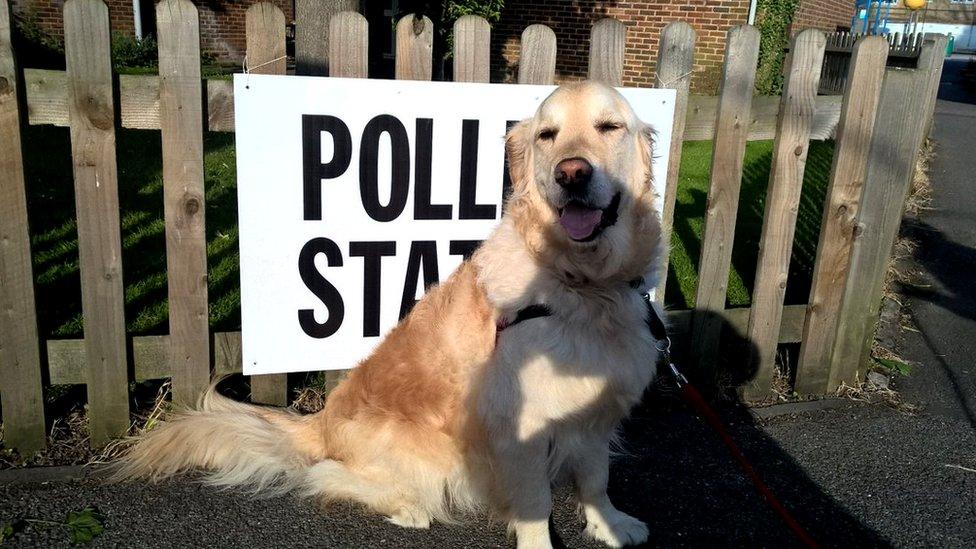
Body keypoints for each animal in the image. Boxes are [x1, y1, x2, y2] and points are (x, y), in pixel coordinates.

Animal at [114, 81, 664, 548]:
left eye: (609, 127)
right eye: (548, 135)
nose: (571, 173)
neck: (586, 285)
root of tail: (321, 420)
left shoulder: (597, 412)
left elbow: (596, 479)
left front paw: (610, 525)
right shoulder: (520, 430)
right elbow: (535, 506)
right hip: (430, 457)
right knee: (327, 474)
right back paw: (409, 508)